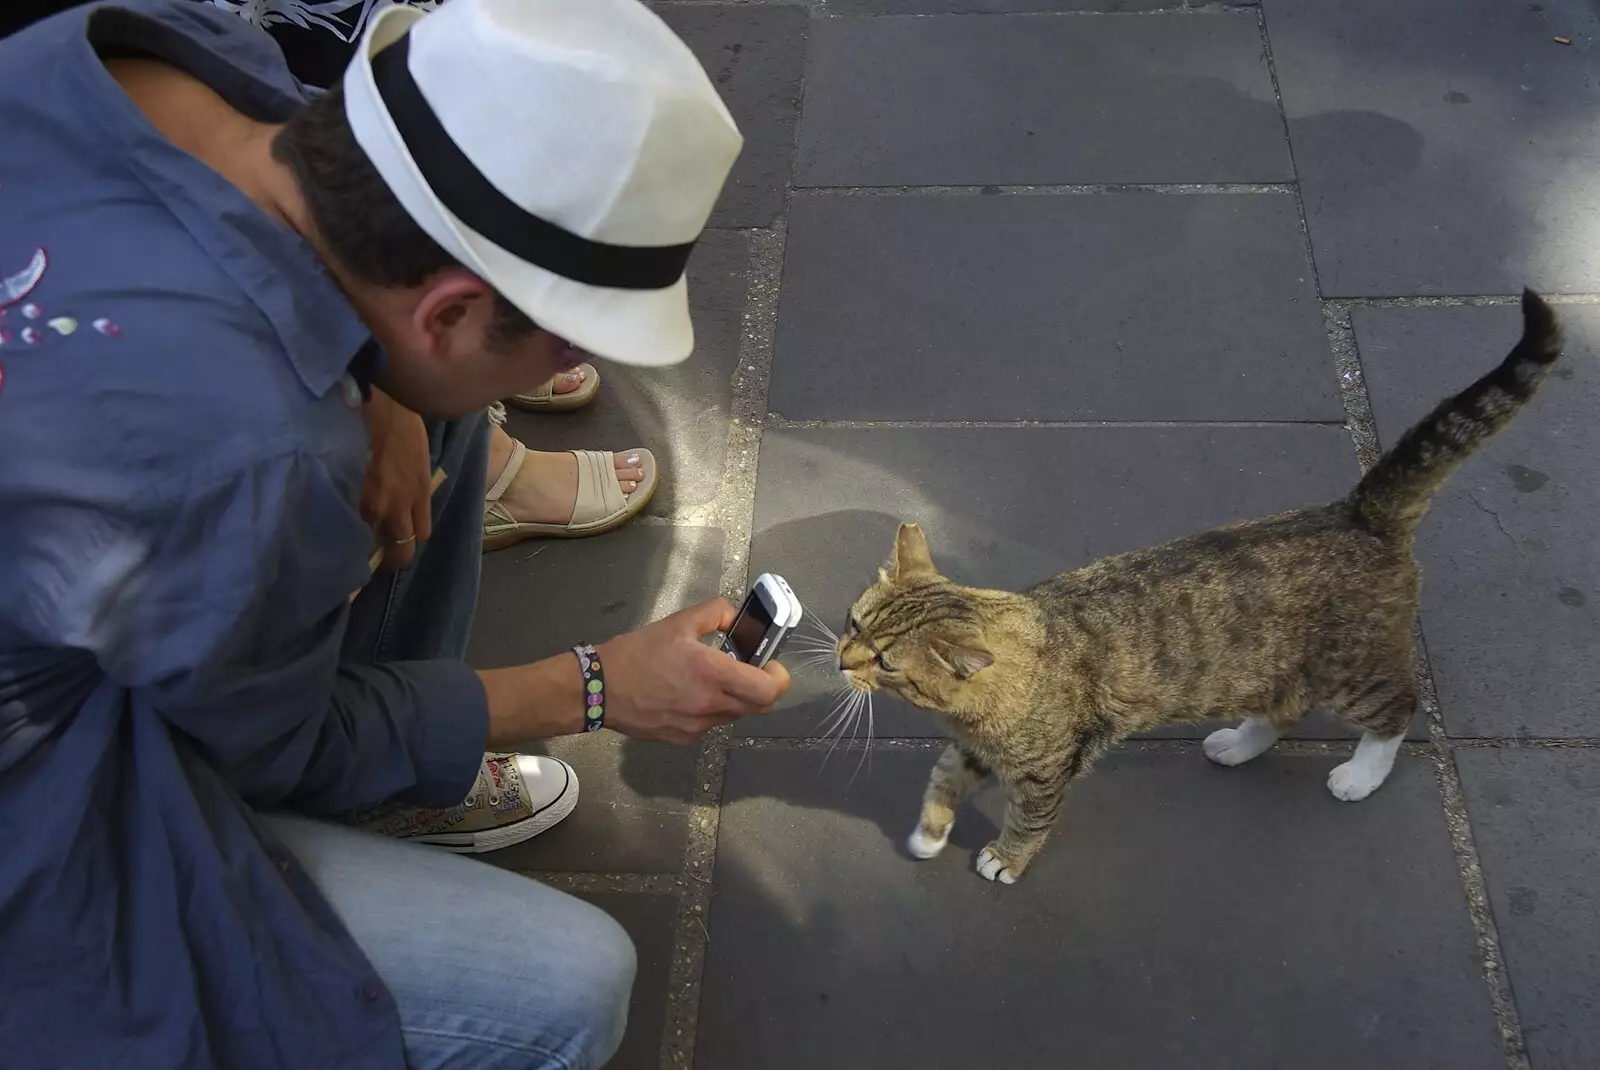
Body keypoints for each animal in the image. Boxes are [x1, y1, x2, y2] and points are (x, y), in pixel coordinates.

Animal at [838, 292, 1561, 882]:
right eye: (853, 623)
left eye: (885, 661)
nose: (841, 662)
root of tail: (1356, 512)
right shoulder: (973, 748)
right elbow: (942, 779)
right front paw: (930, 835)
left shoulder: (1047, 768)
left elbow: (1028, 819)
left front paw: (1005, 858)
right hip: (1271, 669)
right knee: (1284, 709)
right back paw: (1238, 744)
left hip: (1349, 671)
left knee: (1395, 711)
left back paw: (1360, 772)